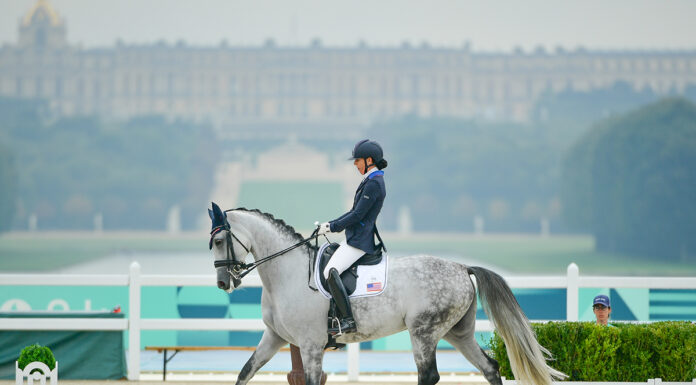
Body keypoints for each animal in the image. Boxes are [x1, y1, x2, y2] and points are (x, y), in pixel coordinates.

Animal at [208, 202, 564, 382]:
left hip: (423, 331)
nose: (223, 283)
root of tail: (462, 267)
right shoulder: (275, 337)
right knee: (489, 367)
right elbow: (244, 372)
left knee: (428, 375)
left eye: (219, 240)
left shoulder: (310, 345)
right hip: (457, 333)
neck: (288, 272)